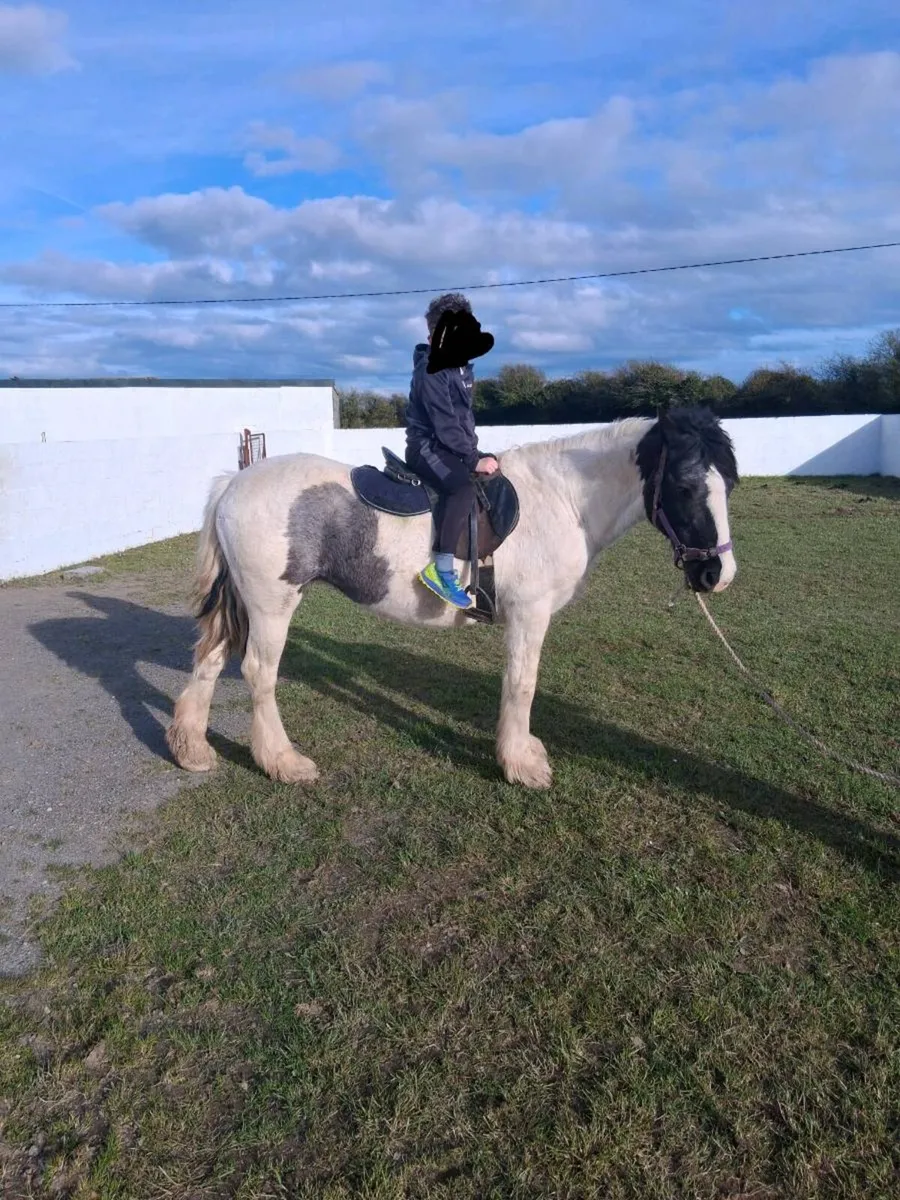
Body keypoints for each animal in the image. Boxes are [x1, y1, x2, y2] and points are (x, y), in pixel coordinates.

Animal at [166, 406, 738, 790]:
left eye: (727, 484)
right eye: (686, 486)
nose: (718, 574)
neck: (563, 499)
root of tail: (235, 481)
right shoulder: (528, 615)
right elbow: (522, 684)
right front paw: (520, 764)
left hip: (244, 603)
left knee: (211, 659)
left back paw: (192, 750)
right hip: (272, 604)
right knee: (259, 673)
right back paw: (283, 762)